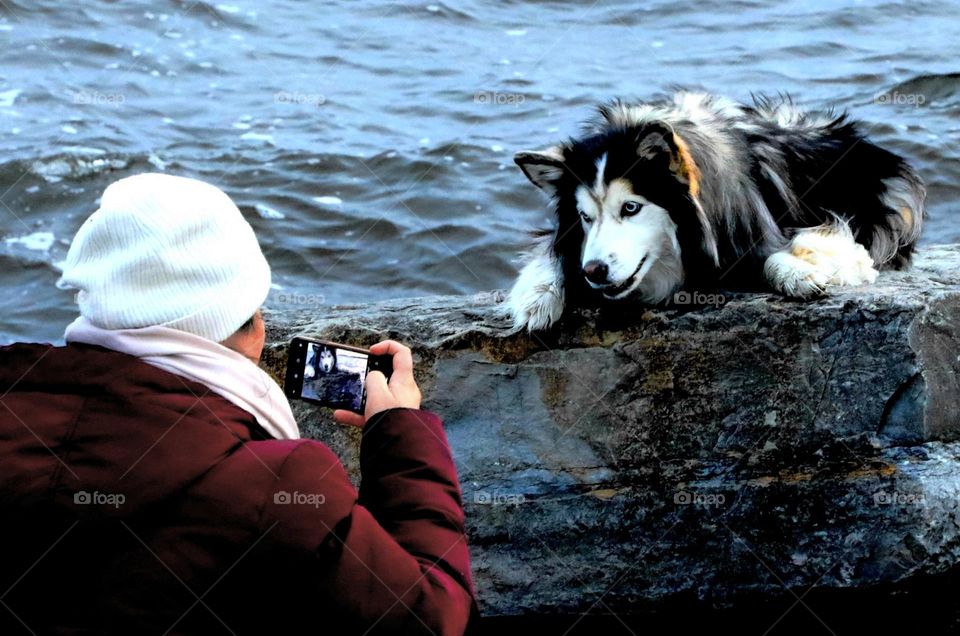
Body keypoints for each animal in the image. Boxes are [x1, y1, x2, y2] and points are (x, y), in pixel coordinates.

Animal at [506, 94, 928, 332]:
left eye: (631, 208)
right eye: (585, 217)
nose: (594, 271)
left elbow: (776, 252)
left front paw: (797, 271)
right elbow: (551, 254)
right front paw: (537, 298)